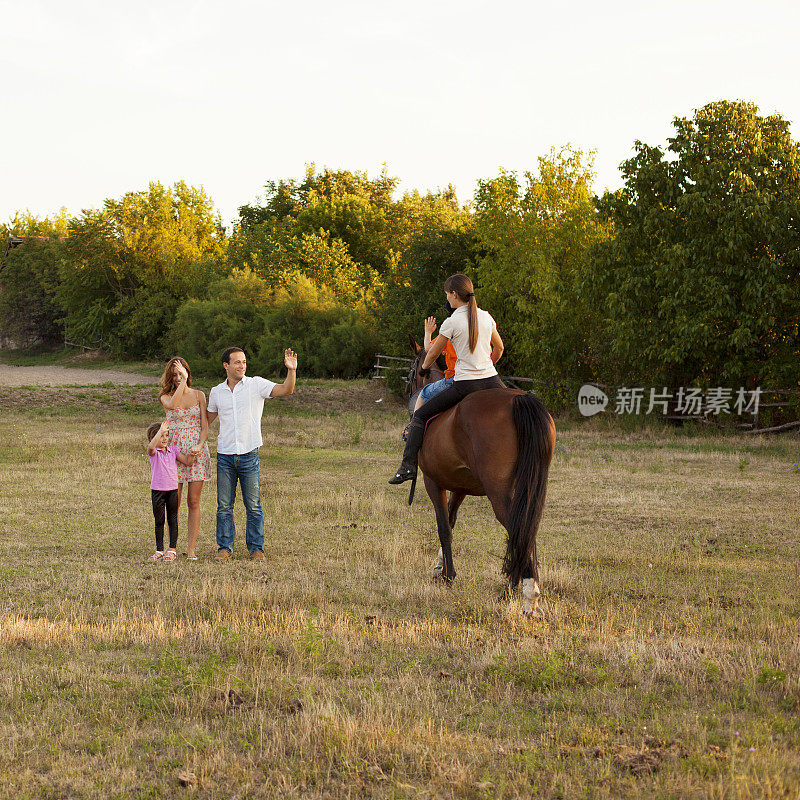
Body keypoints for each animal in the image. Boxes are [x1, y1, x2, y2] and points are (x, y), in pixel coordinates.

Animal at [406, 338, 556, 620]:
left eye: (411, 372)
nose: (409, 398)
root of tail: (521, 401)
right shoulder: (459, 487)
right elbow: (451, 522)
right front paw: (441, 570)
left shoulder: (433, 482)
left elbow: (443, 528)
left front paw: (448, 576)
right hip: (526, 488)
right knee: (525, 531)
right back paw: (515, 589)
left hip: (498, 492)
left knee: (517, 529)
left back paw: (528, 597)